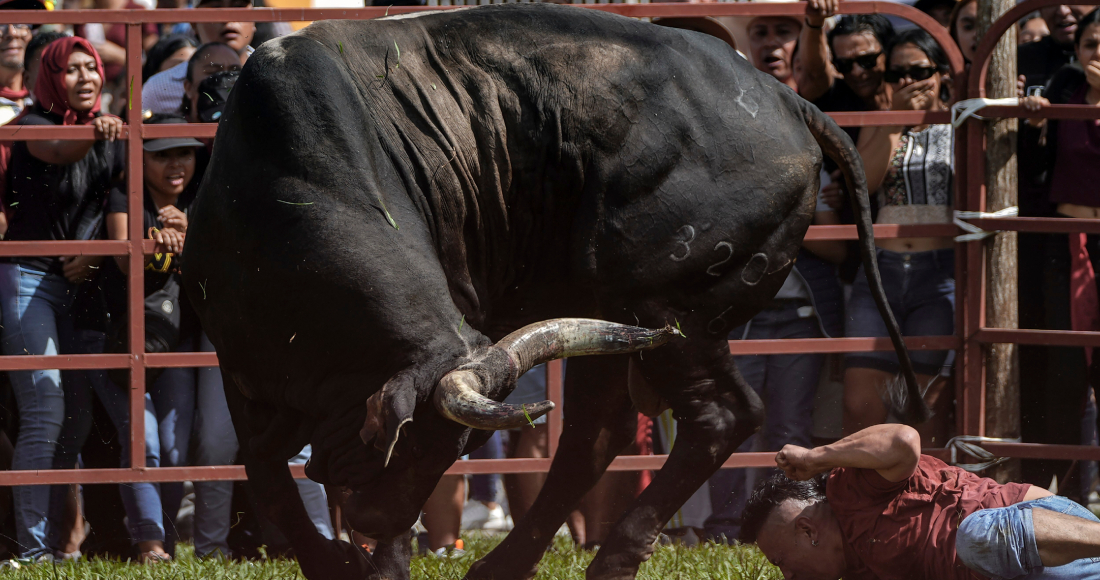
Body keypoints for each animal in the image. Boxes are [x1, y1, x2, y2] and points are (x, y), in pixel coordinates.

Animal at [184, 3, 924, 576]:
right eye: (424, 446)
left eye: (449, 451)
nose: (373, 515)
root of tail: (784, 96)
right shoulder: (237, 359)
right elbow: (263, 470)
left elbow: (269, 472)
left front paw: (364, 560)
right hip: (607, 318)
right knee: (597, 434)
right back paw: (508, 565)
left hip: (672, 311)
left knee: (718, 416)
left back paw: (607, 558)